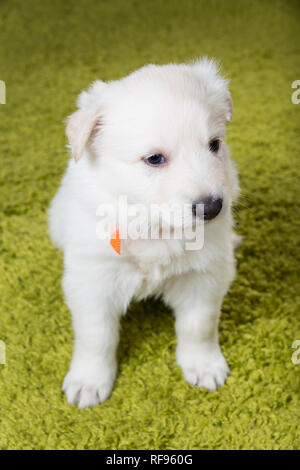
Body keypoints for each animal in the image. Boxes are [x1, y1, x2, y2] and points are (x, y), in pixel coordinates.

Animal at [50, 58, 240, 408]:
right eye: (154, 158)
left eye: (214, 144)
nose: (212, 208)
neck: (154, 224)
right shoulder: (92, 280)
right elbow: (96, 335)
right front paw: (88, 381)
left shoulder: (206, 274)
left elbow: (199, 325)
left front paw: (203, 366)